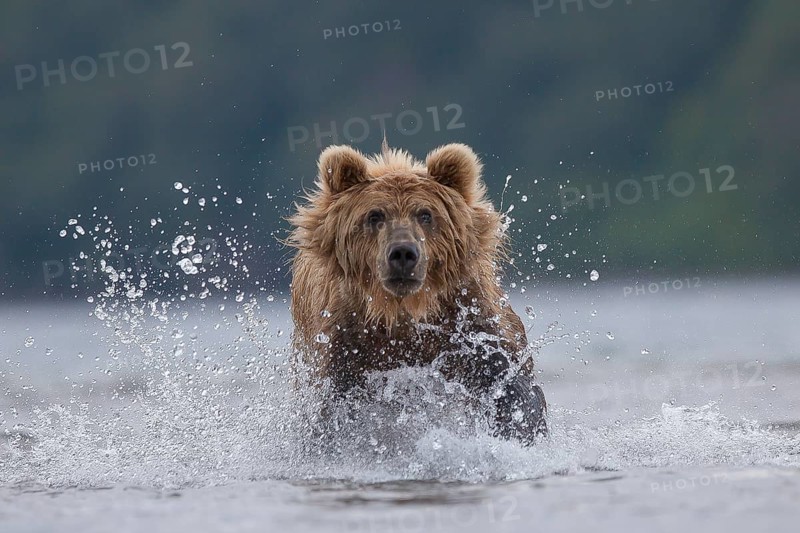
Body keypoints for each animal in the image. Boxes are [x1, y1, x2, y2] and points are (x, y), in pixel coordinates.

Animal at [287, 142, 547, 444]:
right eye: (375, 215)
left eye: (425, 214)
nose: (402, 253)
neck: (403, 311)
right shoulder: (345, 339)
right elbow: (334, 404)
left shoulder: (468, 320)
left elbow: (507, 379)